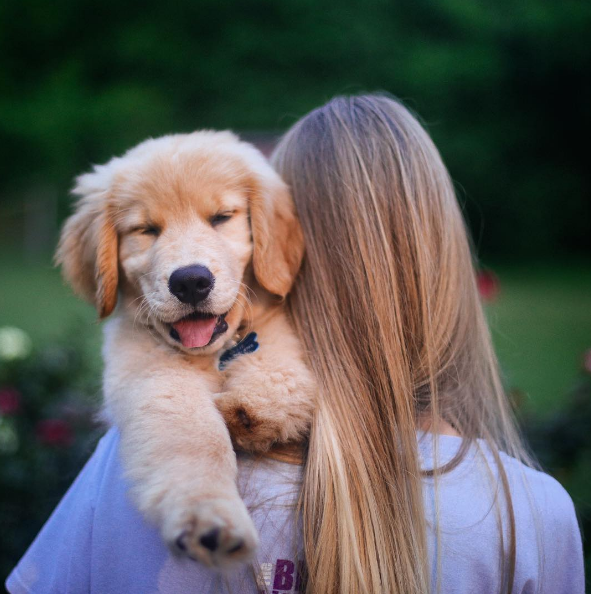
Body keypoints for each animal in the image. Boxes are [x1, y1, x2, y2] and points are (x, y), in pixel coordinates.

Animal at [56, 132, 314, 568]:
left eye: (222, 217)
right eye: (146, 229)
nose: (190, 281)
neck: (213, 355)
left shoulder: (271, 330)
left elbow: (280, 369)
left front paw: (251, 409)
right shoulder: (155, 378)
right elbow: (195, 440)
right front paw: (209, 518)